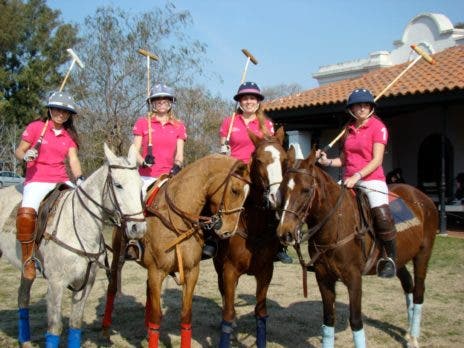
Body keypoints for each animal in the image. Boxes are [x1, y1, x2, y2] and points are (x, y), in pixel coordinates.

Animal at [0, 144, 147, 348]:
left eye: (140, 186)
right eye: (118, 185)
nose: (138, 228)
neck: (79, 225)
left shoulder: (86, 283)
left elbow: (75, 324)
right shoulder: (56, 284)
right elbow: (54, 328)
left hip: (25, 268)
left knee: (23, 296)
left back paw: (26, 341)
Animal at [214, 126, 286, 346]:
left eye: (285, 159)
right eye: (260, 160)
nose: (276, 198)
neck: (253, 227)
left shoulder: (265, 272)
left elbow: (260, 313)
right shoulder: (229, 271)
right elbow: (227, 315)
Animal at [278, 148, 436, 348]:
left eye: (306, 190)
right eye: (282, 189)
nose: (285, 233)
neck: (334, 225)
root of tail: (422, 197)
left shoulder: (354, 278)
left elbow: (355, 321)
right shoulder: (323, 277)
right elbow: (328, 319)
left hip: (423, 253)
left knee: (419, 292)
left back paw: (414, 338)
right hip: (400, 258)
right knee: (408, 284)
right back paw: (408, 334)